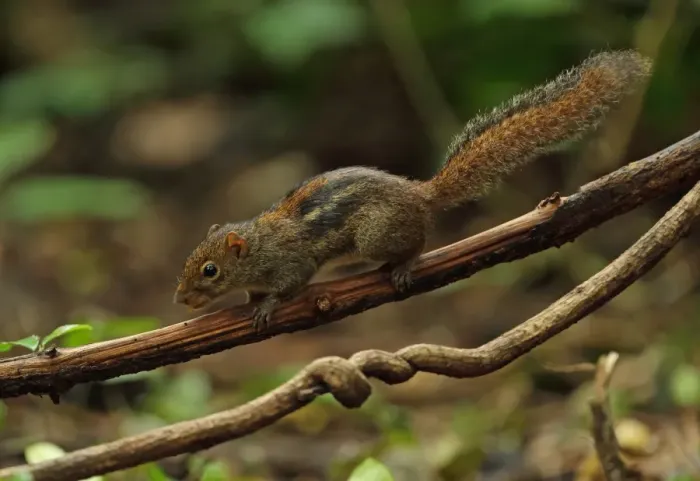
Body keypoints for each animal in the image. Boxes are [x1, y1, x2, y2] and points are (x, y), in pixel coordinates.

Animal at [174, 50, 652, 332]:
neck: (258, 244)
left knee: (417, 243)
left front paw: (267, 305)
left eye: (210, 271)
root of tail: (420, 195)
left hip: (376, 234)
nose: (180, 299)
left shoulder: (291, 262)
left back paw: (405, 265)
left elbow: (290, 283)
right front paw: (252, 299)